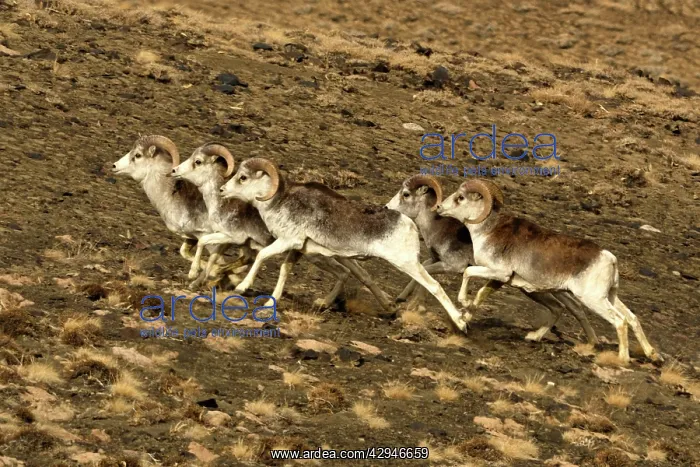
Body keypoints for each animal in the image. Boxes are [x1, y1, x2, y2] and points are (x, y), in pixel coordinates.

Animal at [111, 135, 232, 285]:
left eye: (137, 155)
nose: (114, 166)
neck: (172, 196)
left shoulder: (211, 238)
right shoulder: (191, 237)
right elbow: (184, 252)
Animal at [172, 143, 391, 310]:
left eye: (197, 162)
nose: (174, 171)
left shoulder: (232, 237)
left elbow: (205, 244)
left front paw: (200, 276)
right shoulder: (229, 241)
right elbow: (216, 257)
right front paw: (204, 280)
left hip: (317, 256)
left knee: (348, 273)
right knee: (356, 273)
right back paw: (387, 307)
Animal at [219, 157, 470, 332]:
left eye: (243, 178)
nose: (222, 190)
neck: (279, 203)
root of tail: (408, 224)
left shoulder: (287, 241)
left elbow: (262, 256)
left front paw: (241, 287)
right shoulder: (298, 250)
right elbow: (284, 271)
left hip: (406, 263)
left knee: (434, 286)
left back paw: (461, 324)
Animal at [386, 175, 599, 344]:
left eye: (406, 194)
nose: (387, 207)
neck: (436, 227)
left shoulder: (452, 266)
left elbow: (427, 274)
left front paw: (414, 305)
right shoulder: (436, 259)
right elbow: (422, 269)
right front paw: (403, 298)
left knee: (572, 307)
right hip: (541, 290)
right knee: (571, 307)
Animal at [435, 178, 663, 363]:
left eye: (460, 198)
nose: (439, 207)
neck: (487, 230)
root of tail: (609, 258)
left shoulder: (499, 273)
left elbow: (468, 274)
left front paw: (464, 305)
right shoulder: (501, 280)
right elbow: (481, 294)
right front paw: (464, 319)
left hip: (593, 299)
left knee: (620, 321)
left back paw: (622, 359)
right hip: (609, 297)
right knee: (632, 318)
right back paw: (653, 356)